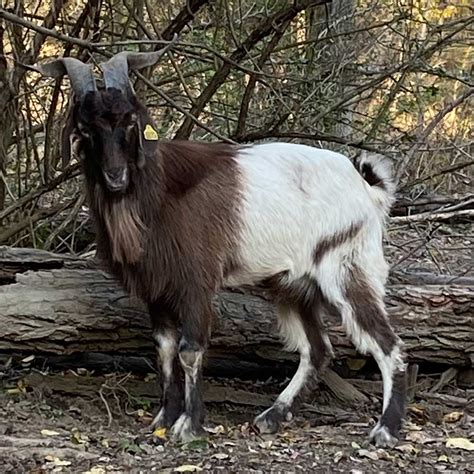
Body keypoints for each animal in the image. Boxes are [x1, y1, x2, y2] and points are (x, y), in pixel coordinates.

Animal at [37, 47, 408, 448]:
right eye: (85, 129)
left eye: (131, 121)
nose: (116, 177)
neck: (156, 191)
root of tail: (369, 188)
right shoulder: (157, 289)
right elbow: (164, 349)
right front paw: (163, 419)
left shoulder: (195, 282)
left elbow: (189, 350)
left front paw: (189, 425)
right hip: (295, 285)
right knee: (317, 350)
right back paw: (272, 416)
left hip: (346, 268)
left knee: (387, 344)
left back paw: (386, 429)